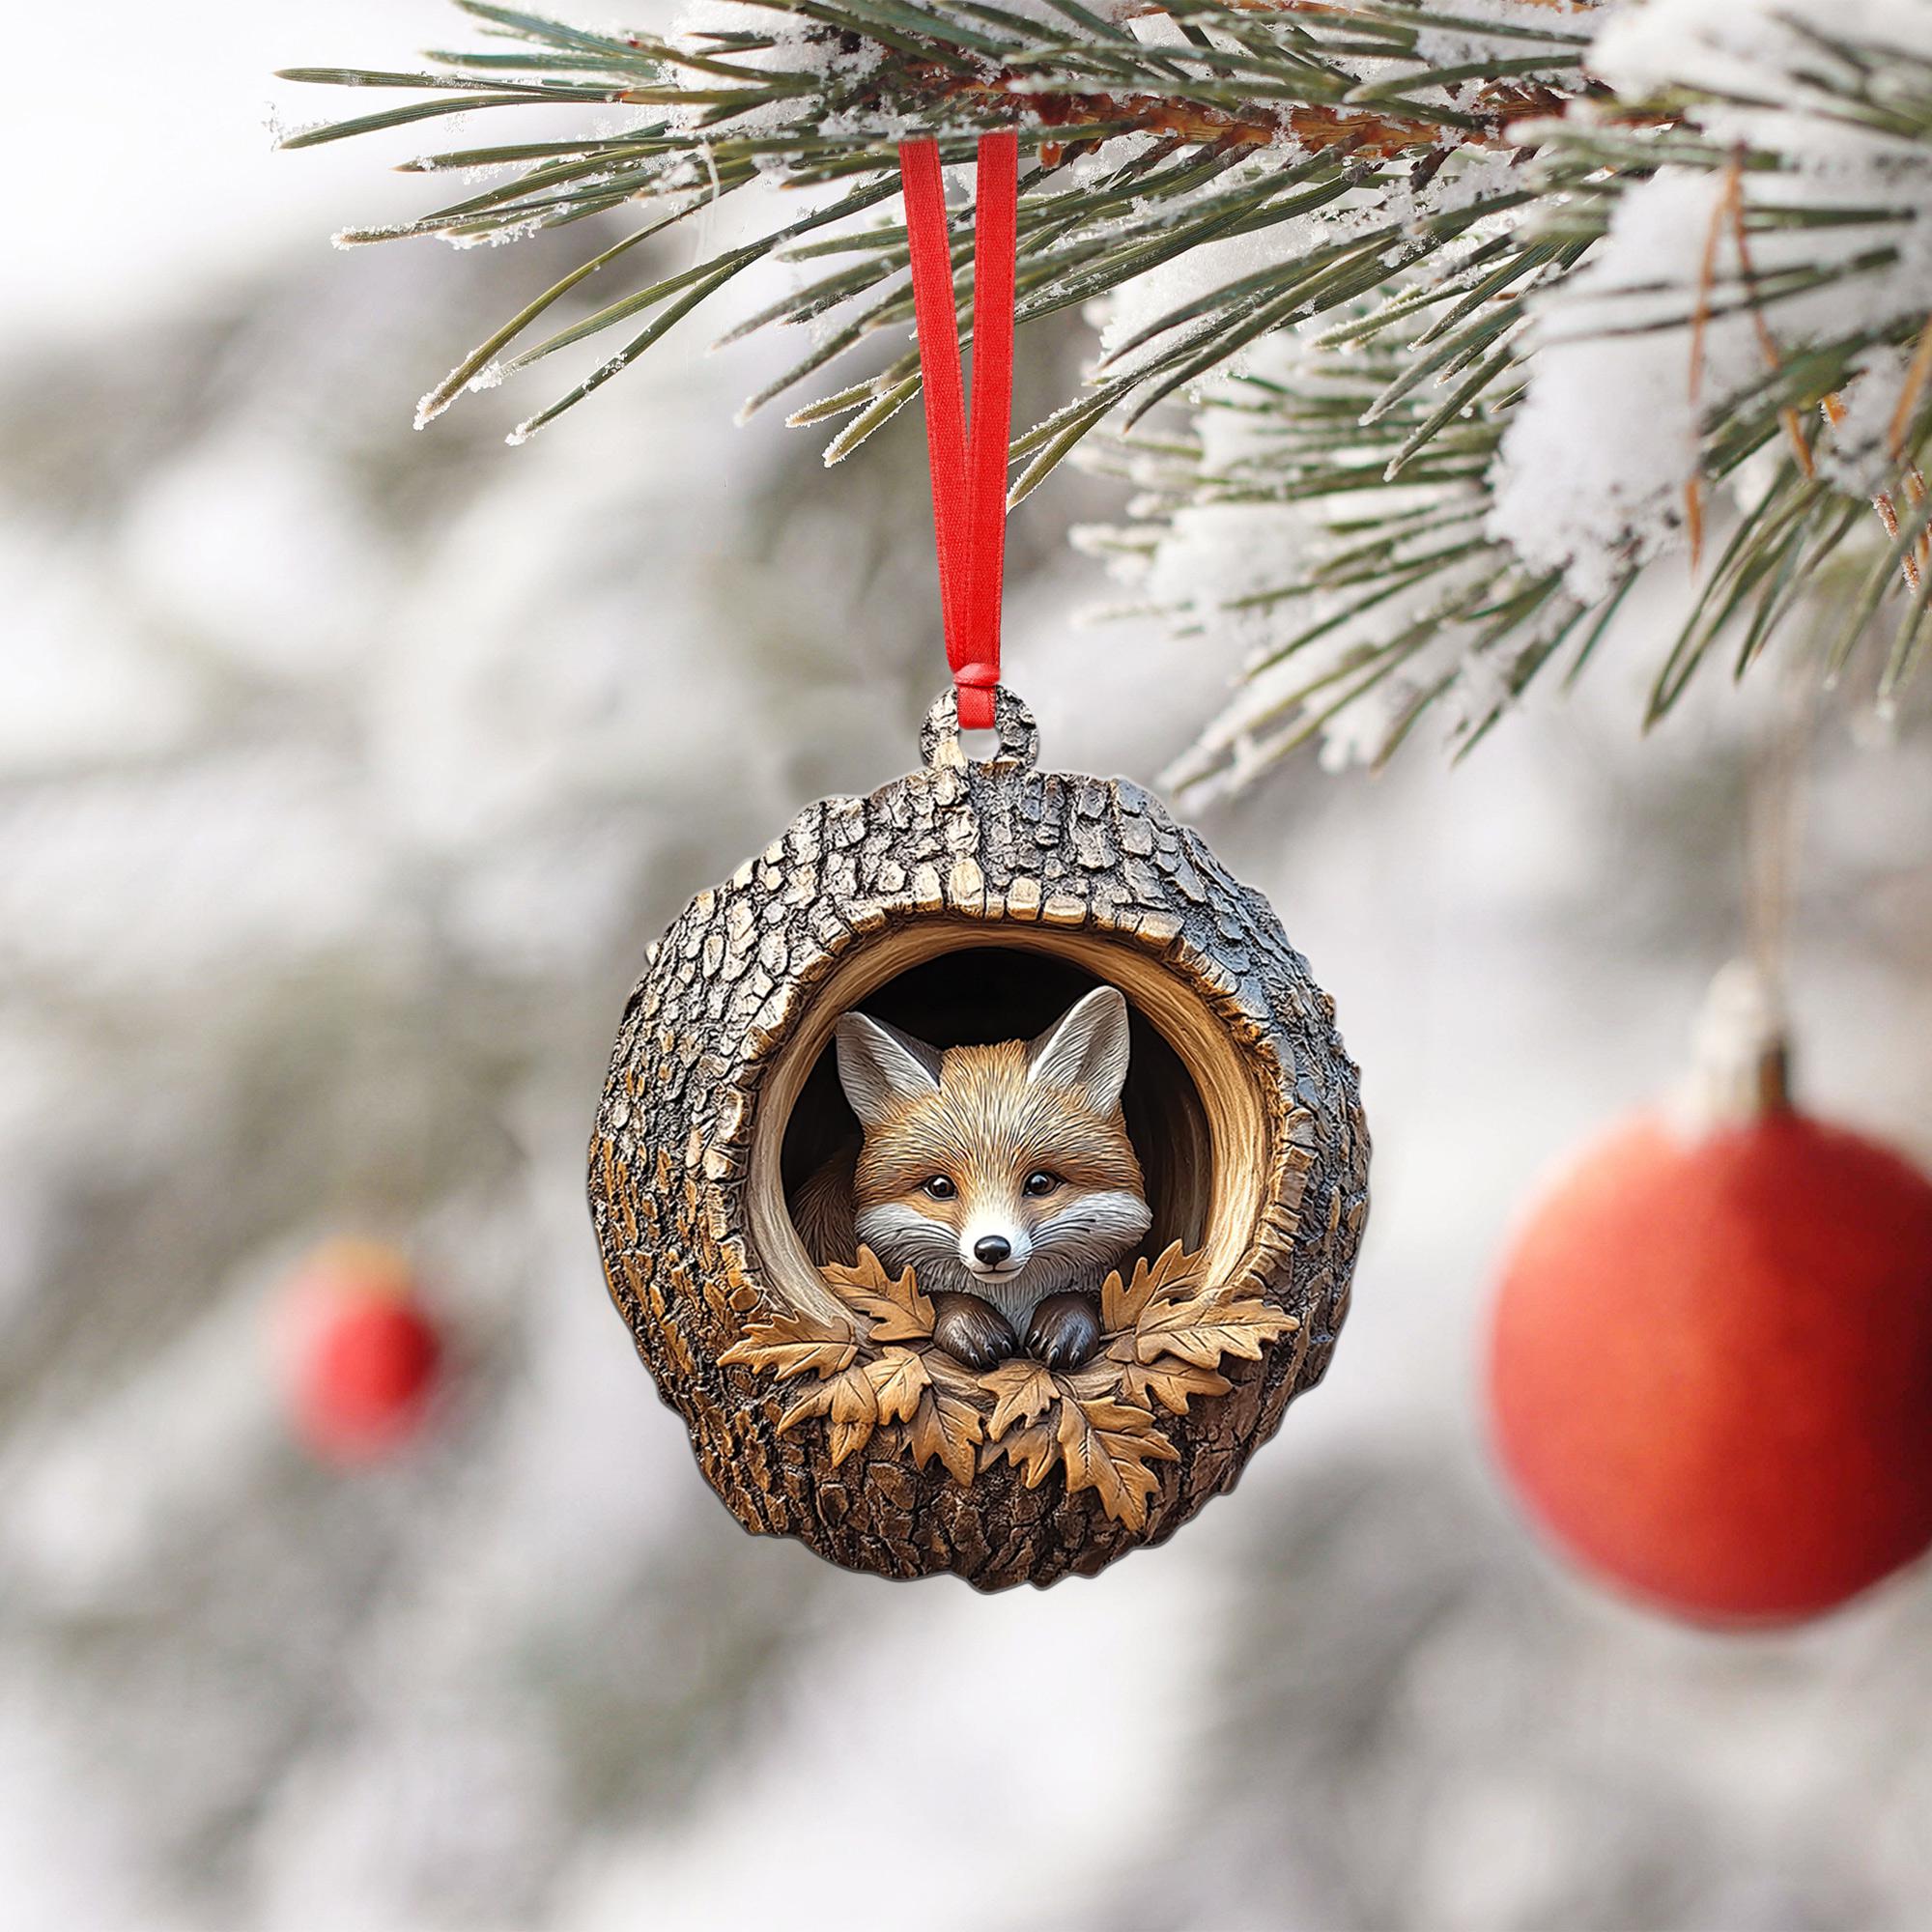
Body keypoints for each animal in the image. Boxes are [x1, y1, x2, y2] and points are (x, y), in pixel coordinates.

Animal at [791, 985, 1153, 1370]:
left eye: (1040, 1183)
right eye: (940, 1187)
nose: (992, 1249)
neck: (1012, 1302)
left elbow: (1085, 1298)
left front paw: (1065, 1324)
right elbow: (939, 1298)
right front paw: (971, 1325)